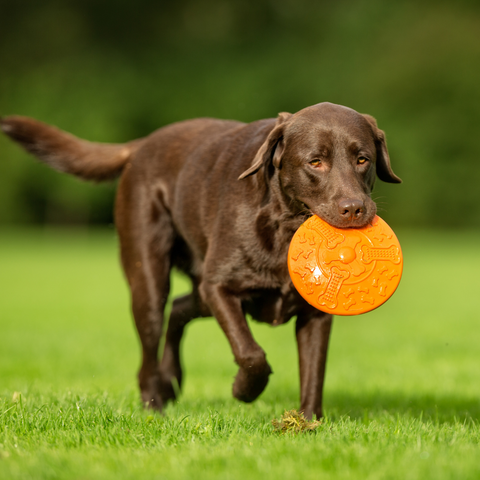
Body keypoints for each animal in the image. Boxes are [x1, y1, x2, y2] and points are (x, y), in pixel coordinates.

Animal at [1, 103, 402, 418]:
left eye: (362, 159)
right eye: (315, 162)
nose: (355, 209)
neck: (285, 226)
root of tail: (142, 144)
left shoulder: (314, 314)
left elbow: (314, 371)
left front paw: (307, 423)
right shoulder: (219, 287)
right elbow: (251, 353)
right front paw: (244, 390)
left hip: (197, 291)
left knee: (179, 309)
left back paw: (171, 379)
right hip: (150, 279)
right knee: (151, 341)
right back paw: (154, 403)